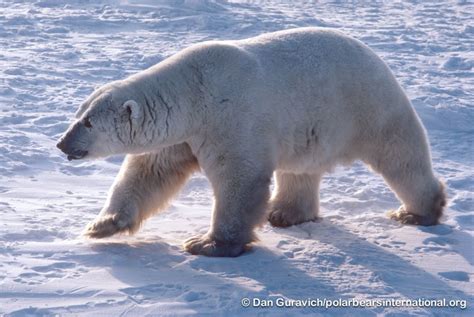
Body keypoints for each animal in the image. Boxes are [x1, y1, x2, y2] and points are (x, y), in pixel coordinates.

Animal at [57, 27, 446, 256]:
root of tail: (374, 55)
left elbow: (239, 180)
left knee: (400, 155)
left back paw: (418, 211)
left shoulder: (230, 120)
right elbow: (148, 173)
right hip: (308, 126)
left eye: (88, 122)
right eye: (78, 113)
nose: (62, 144)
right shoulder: (182, 136)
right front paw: (101, 225)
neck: (193, 94)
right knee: (299, 171)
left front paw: (208, 243)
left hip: (367, 105)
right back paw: (285, 213)